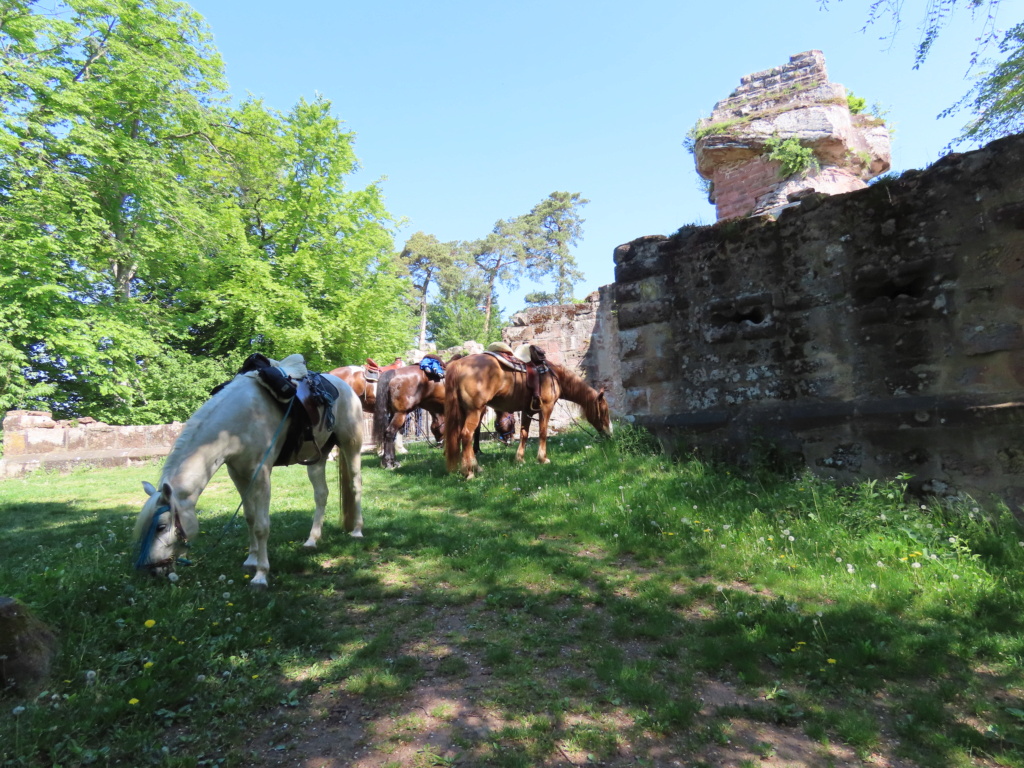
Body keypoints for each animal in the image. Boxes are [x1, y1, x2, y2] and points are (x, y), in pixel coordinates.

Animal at [132, 368, 364, 589]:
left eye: (161, 527)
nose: (151, 571)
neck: (236, 425)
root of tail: (344, 385)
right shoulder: (238, 475)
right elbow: (250, 518)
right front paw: (251, 560)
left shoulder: (261, 476)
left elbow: (262, 526)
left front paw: (260, 576)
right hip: (317, 456)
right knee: (321, 494)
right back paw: (312, 540)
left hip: (351, 446)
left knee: (356, 486)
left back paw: (357, 530)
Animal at [444, 350, 610, 481]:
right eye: (605, 411)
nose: (609, 434)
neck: (554, 376)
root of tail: (458, 363)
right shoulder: (547, 407)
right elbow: (543, 432)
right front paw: (543, 458)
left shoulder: (527, 411)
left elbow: (524, 433)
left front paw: (520, 459)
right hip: (475, 410)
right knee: (466, 435)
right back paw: (469, 472)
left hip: (464, 412)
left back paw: (476, 468)